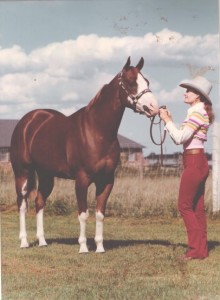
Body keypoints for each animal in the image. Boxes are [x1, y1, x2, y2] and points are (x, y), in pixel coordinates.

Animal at [10, 56, 158, 253]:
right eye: (130, 82)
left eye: (147, 81)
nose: (154, 107)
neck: (96, 131)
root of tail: (27, 121)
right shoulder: (82, 180)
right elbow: (83, 213)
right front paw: (83, 248)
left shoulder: (106, 180)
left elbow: (100, 213)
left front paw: (100, 247)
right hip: (22, 172)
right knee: (22, 203)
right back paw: (24, 242)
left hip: (46, 175)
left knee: (39, 202)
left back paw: (42, 241)